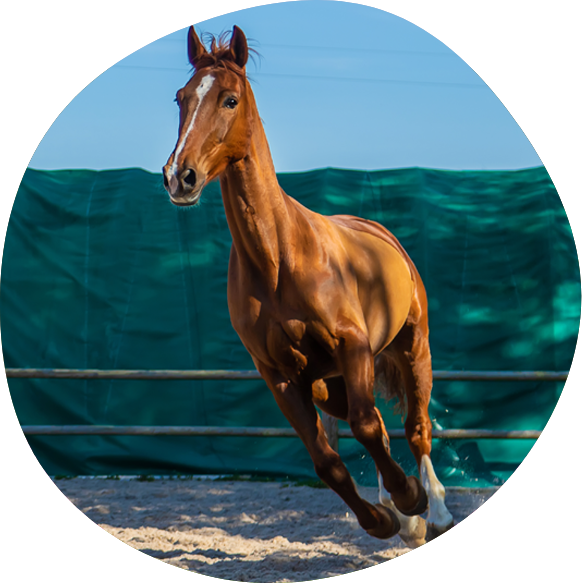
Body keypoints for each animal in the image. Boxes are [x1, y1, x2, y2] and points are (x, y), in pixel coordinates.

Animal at [164, 22, 456, 544]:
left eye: (229, 99)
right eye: (181, 97)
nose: (180, 175)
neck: (279, 260)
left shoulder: (353, 346)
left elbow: (367, 427)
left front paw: (409, 501)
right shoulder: (278, 375)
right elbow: (327, 461)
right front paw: (384, 518)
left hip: (411, 349)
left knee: (414, 427)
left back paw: (434, 511)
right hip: (328, 385)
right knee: (380, 430)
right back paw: (400, 513)